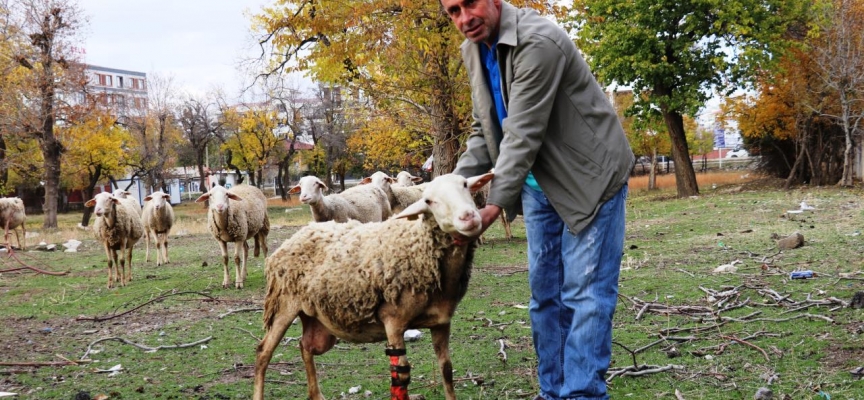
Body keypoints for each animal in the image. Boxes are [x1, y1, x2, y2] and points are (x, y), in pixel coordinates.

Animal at [251, 171, 492, 400]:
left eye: (465, 185)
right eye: (429, 201)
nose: (468, 217)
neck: (420, 247)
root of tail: (298, 234)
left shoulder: (441, 323)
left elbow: (447, 370)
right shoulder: (394, 321)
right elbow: (400, 375)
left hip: (315, 317)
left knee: (305, 346)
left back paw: (316, 394)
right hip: (284, 304)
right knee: (263, 352)